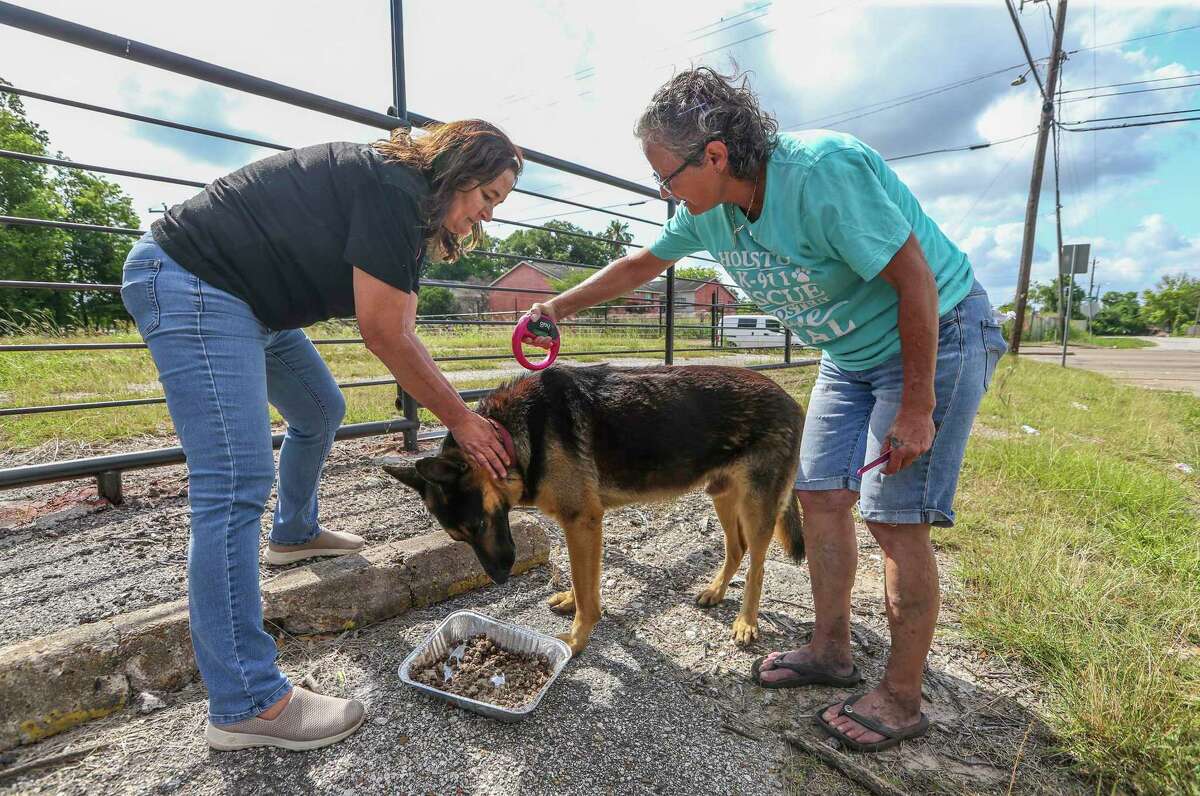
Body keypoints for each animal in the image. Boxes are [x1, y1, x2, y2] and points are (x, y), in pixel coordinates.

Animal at [384, 364, 806, 657]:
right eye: (459, 536)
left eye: (478, 524)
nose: (501, 579)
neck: (513, 436)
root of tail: (791, 399)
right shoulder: (581, 526)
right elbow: (583, 579)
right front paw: (572, 601)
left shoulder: (582, 522)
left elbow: (588, 595)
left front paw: (575, 640)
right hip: (723, 496)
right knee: (737, 549)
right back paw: (717, 590)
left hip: (756, 507)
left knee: (758, 565)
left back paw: (746, 622)